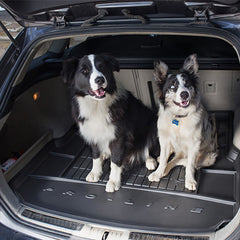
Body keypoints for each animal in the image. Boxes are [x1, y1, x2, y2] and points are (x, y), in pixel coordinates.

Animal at [62, 53, 157, 192]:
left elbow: (116, 161)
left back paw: (150, 160)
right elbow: (95, 155)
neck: (97, 105)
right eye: (84, 71)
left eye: (102, 67)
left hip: (151, 124)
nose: (100, 80)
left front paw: (113, 181)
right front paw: (95, 172)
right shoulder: (92, 133)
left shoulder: (118, 137)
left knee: (147, 147)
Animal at [148, 53, 218, 190]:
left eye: (187, 83)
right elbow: (164, 159)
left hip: (210, 157)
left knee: (183, 161)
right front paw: (158, 173)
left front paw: (190, 181)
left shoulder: (194, 144)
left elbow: (190, 165)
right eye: (172, 86)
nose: (184, 94)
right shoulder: (164, 138)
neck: (179, 117)